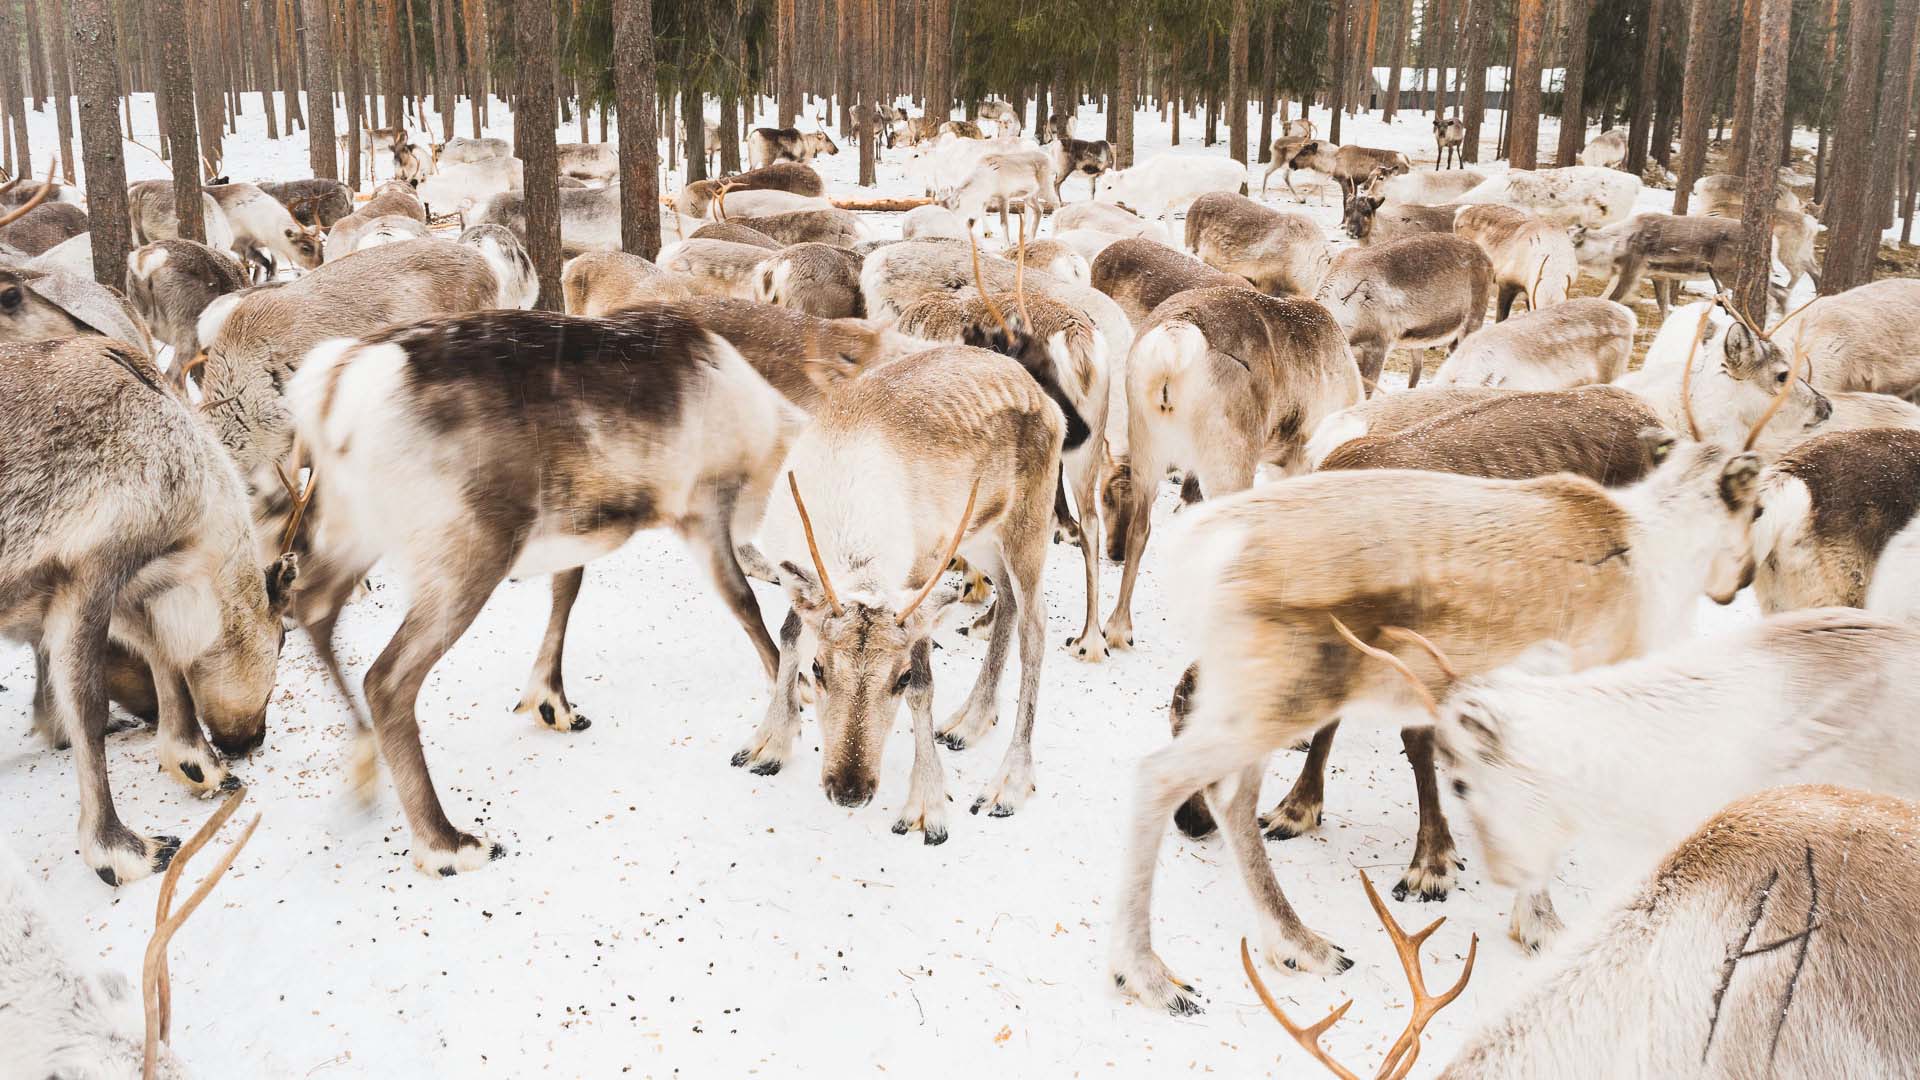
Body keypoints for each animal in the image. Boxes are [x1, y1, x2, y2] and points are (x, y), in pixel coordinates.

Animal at [0, 338, 295, 884]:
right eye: (283, 636)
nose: (254, 738)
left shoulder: (122, 584)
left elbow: (161, 653)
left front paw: (195, 761)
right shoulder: (88, 572)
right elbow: (89, 710)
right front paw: (120, 849)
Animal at [285, 305, 806, 874]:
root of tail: (338, 381)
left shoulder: (577, 529)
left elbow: (567, 589)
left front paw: (551, 701)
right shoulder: (703, 508)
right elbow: (744, 602)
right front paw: (789, 694)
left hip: (351, 530)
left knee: (312, 606)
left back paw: (362, 768)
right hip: (467, 553)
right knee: (386, 678)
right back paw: (448, 843)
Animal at [1100, 286, 1363, 652]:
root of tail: (1176, 339)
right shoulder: (1298, 459)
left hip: (1146, 448)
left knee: (1140, 529)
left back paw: (1118, 628)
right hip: (1230, 459)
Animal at [1109, 401, 1782, 1013]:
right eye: (1758, 508)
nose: (1741, 581)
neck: (1658, 549)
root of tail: (1212, 547)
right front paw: (1538, 920)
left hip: (1266, 698)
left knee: (1228, 794)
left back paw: (1294, 942)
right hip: (1285, 694)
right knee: (1163, 777)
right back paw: (1150, 974)